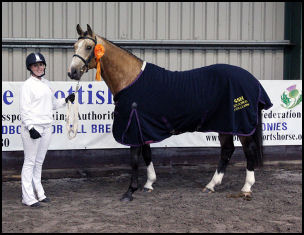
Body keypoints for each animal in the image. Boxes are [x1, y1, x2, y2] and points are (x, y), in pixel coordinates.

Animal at [67, 25, 272, 202]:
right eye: (75, 46)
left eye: (89, 47)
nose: (72, 72)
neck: (131, 79)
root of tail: (252, 81)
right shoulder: (142, 126)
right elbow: (147, 154)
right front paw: (149, 184)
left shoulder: (133, 126)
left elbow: (134, 159)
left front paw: (130, 191)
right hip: (225, 124)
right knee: (227, 150)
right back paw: (211, 185)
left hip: (239, 124)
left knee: (248, 150)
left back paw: (246, 188)